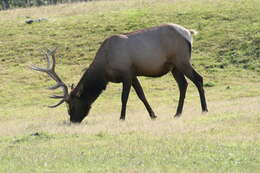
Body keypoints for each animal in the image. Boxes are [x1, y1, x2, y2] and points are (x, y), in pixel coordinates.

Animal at [31, 23, 208, 123]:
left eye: (72, 104)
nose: (73, 120)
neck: (104, 69)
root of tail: (189, 33)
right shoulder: (134, 74)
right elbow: (142, 95)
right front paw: (153, 115)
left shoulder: (126, 73)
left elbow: (124, 97)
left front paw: (122, 117)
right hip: (174, 66)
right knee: (183, 84)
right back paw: (177, 113)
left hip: (182, 60)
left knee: (198, 79)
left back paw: (204, 109)